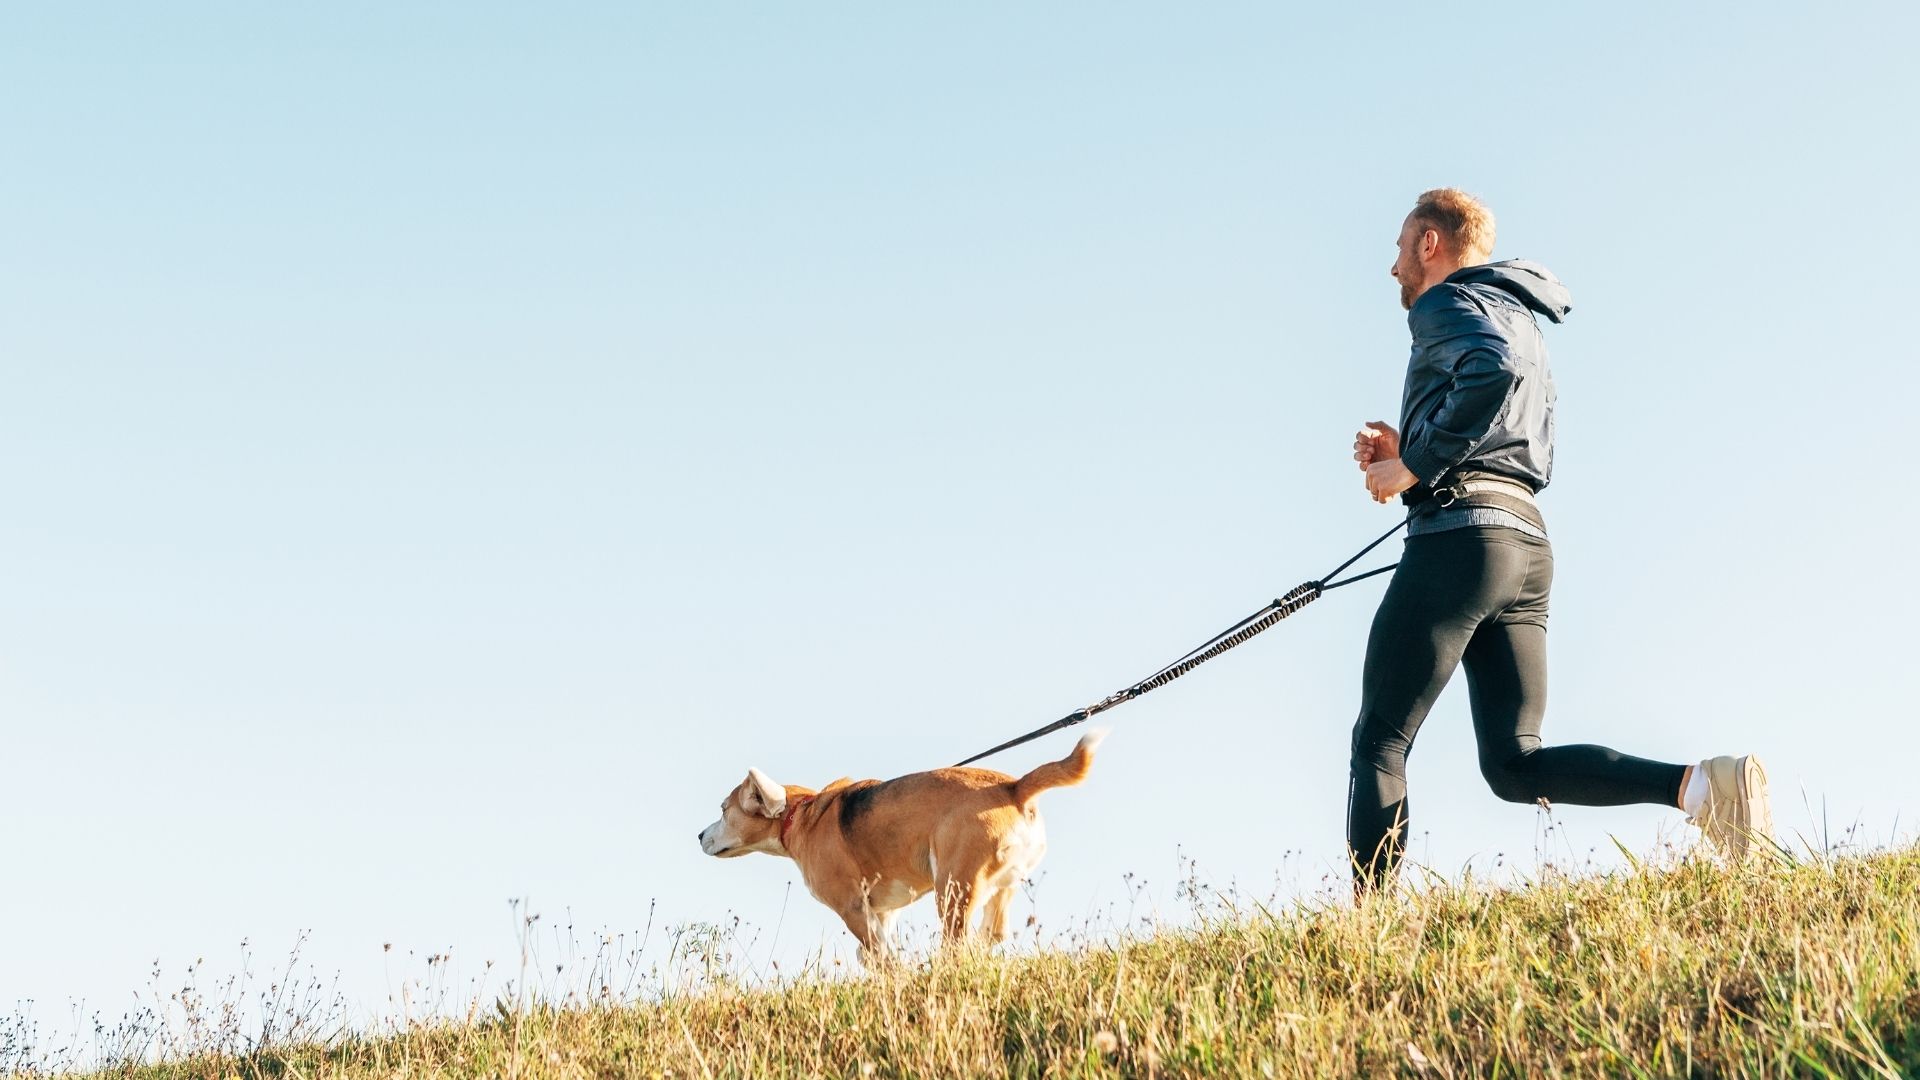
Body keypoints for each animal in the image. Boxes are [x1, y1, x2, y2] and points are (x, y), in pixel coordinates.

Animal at [698, 726, 1105, 960]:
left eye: (723, 810)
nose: (699, 835)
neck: (801, 813)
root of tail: (1015, 787)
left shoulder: (853, 907)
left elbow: (879, 956)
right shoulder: (882, 912)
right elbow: (875, 952)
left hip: (953, 889)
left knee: (957, 944)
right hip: (1001, 883)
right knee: (992, 933)